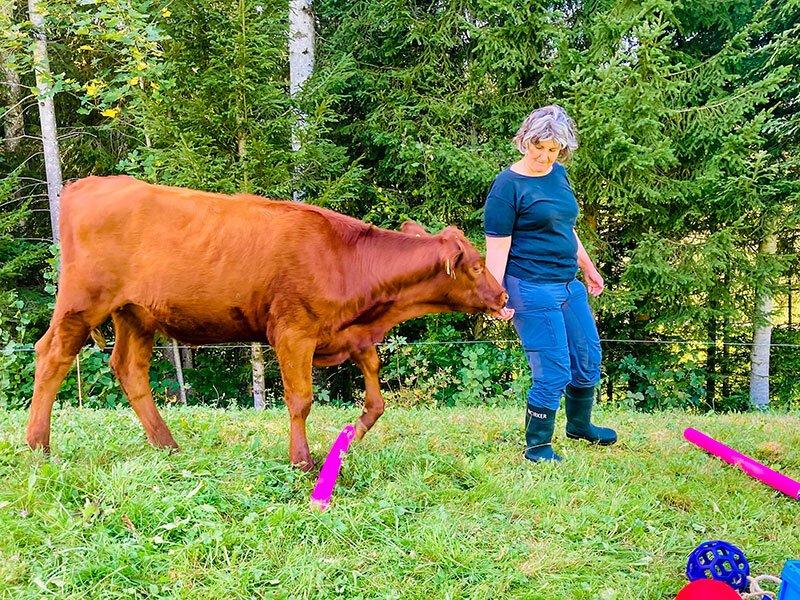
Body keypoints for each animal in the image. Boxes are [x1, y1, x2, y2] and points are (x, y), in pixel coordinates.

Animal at [28, 176, 506, 466]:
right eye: (478, 265)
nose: (502, 295)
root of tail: (88, 184)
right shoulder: (293, 332)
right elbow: (301, 400)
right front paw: (302, 460)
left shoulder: (349, 333)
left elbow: (375, 396)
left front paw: (349, 439)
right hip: (82, 300)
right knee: (52, 354)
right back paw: (38, 444)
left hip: (135, 314)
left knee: (129, 368)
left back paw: (168, 445)